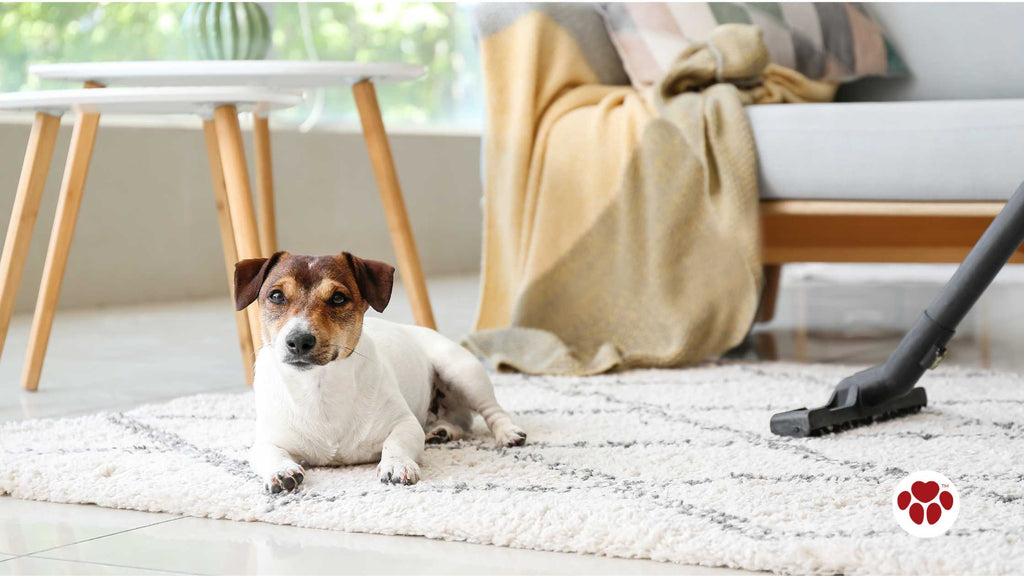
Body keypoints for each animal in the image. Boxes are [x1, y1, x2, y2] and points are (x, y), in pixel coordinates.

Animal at [234, 249, 528, 491]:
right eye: (276, 296)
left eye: (338, 298)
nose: (298, 340)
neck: (319, 388)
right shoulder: (267, 439)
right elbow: (268, 453)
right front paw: (281, 471)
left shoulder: (404, 423)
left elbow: (394, 442)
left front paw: (397, 464)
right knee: (459, 422)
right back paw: (442, 431)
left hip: (461, 371)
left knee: (492, 411)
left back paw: (508, 433)